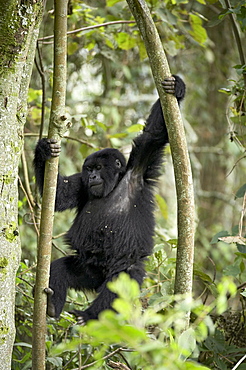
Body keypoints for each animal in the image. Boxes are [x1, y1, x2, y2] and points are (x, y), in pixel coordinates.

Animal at [33, 75, 185, 324]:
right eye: (89, 169)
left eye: (98, 168)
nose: (92, 176)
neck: (115, 183)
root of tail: (99, 277)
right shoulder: (82, 184)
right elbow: (59, 195)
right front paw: (44, 151)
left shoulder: (140, 167)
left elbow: (154, 135)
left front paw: (177, 88)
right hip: (87, 270)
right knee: (62, 267)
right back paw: (53, 305)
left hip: (123, 270)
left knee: (116, 287)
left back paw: (90, 316)